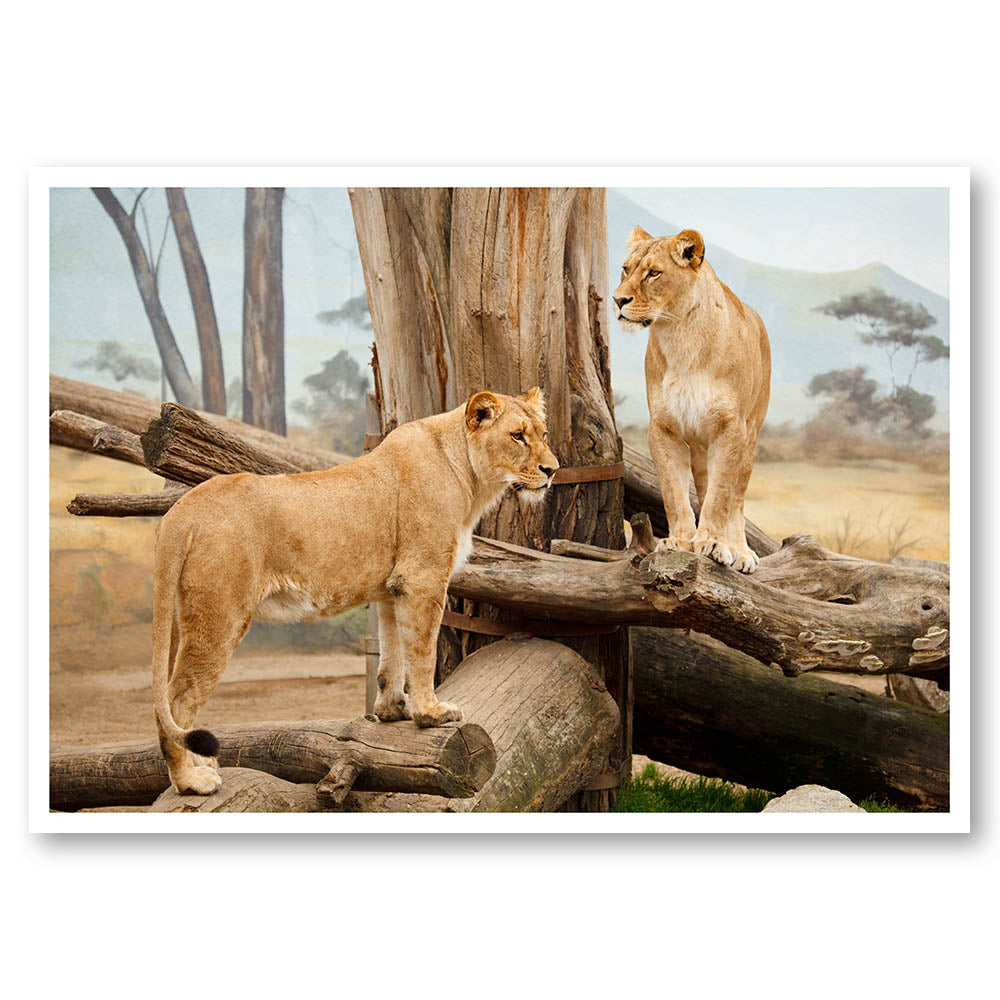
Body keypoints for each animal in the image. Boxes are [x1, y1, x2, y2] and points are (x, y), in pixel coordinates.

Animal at [151, 387, 558, 795]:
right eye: (517, 436)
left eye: (543, 434)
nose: (552, 470)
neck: (469, 474)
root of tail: (181, 511)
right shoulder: (423, 577)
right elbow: (422, 652)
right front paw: (431, 713)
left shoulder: (394, 588)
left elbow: (392, 655)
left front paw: (393, 710)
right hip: (221, 617)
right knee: (177, 700)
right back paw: (191, 781)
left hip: (189, 618)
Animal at [613, 226, 770, 573]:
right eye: (626, 269)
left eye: (654, 273)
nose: (618, 300)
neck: (680, 335)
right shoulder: (662, 428)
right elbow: (674, 492)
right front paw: (679, 541)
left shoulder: (730, 428)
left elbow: (721, 496)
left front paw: (713, 543)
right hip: (700, 445)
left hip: (751, 435)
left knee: (737, 499)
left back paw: (740, 550)